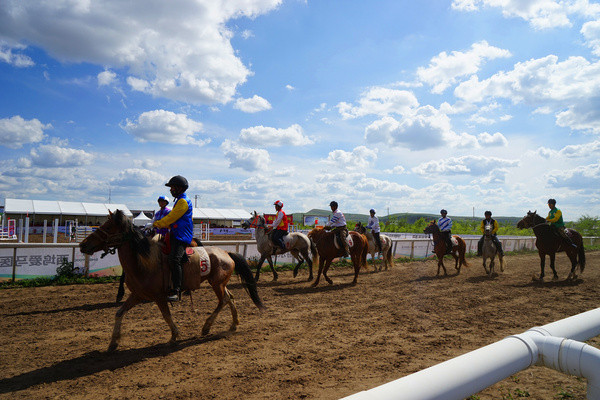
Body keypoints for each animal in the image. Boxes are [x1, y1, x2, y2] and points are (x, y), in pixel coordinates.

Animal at [78, 209, 264, 350]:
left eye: (108, 226)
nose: (83, 244)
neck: (145, 262)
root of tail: (227, 253)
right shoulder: (137, 295)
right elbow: (119, 313)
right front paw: (113, 342)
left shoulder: (159, 296)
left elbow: (166, 316)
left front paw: (174, 335)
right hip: (219, 283)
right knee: (230, 297)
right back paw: (233, 324)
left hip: (216, 284)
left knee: (224, 299)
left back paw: (207, 326)